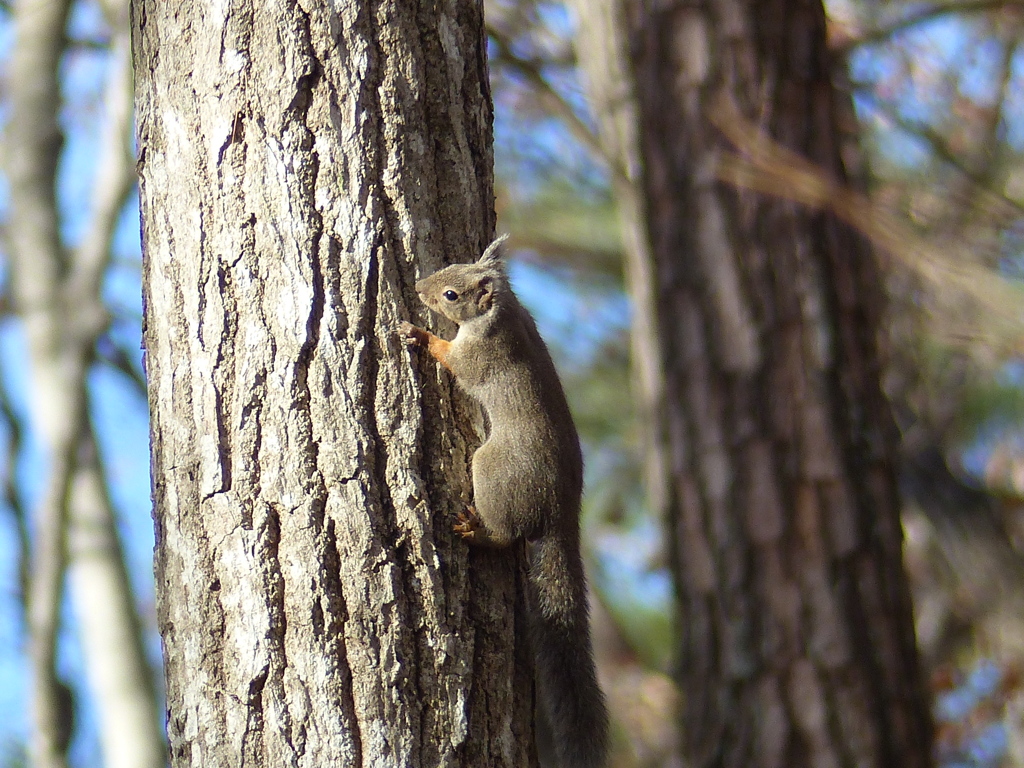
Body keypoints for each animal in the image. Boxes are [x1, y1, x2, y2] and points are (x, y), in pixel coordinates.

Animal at [397, 234, 606, 768]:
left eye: (451, 295)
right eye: (450, 263)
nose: (418, 288)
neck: (503, 314)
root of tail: (561, 513)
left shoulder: (485, 354)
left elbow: (455, 360)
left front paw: (417, 333)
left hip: (492, 470)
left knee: (506, 534)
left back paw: (477, 532)